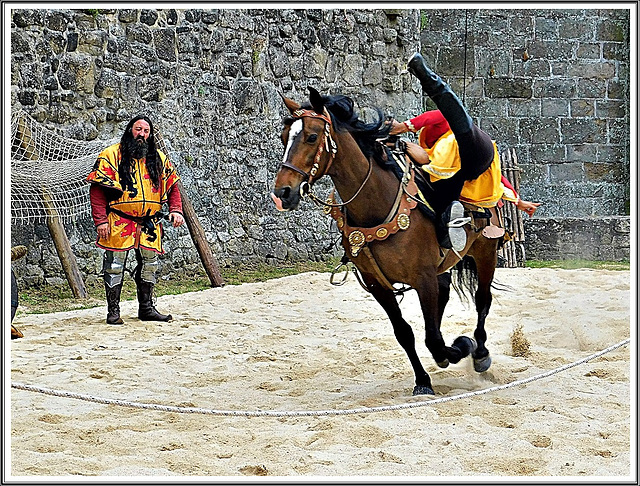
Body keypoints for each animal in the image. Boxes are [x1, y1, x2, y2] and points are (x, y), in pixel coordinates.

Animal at [270, 89, 500, 396]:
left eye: (311, 136)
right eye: (284, 137)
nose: (283, 192)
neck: (376, 204)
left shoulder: (423, 277)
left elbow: (433, 339)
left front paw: (462, 347)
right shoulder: (377, 284)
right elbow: (406, 333)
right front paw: (423, 380)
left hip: (486, 251)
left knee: (482, 300)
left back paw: (480, 353)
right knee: (444, 297)